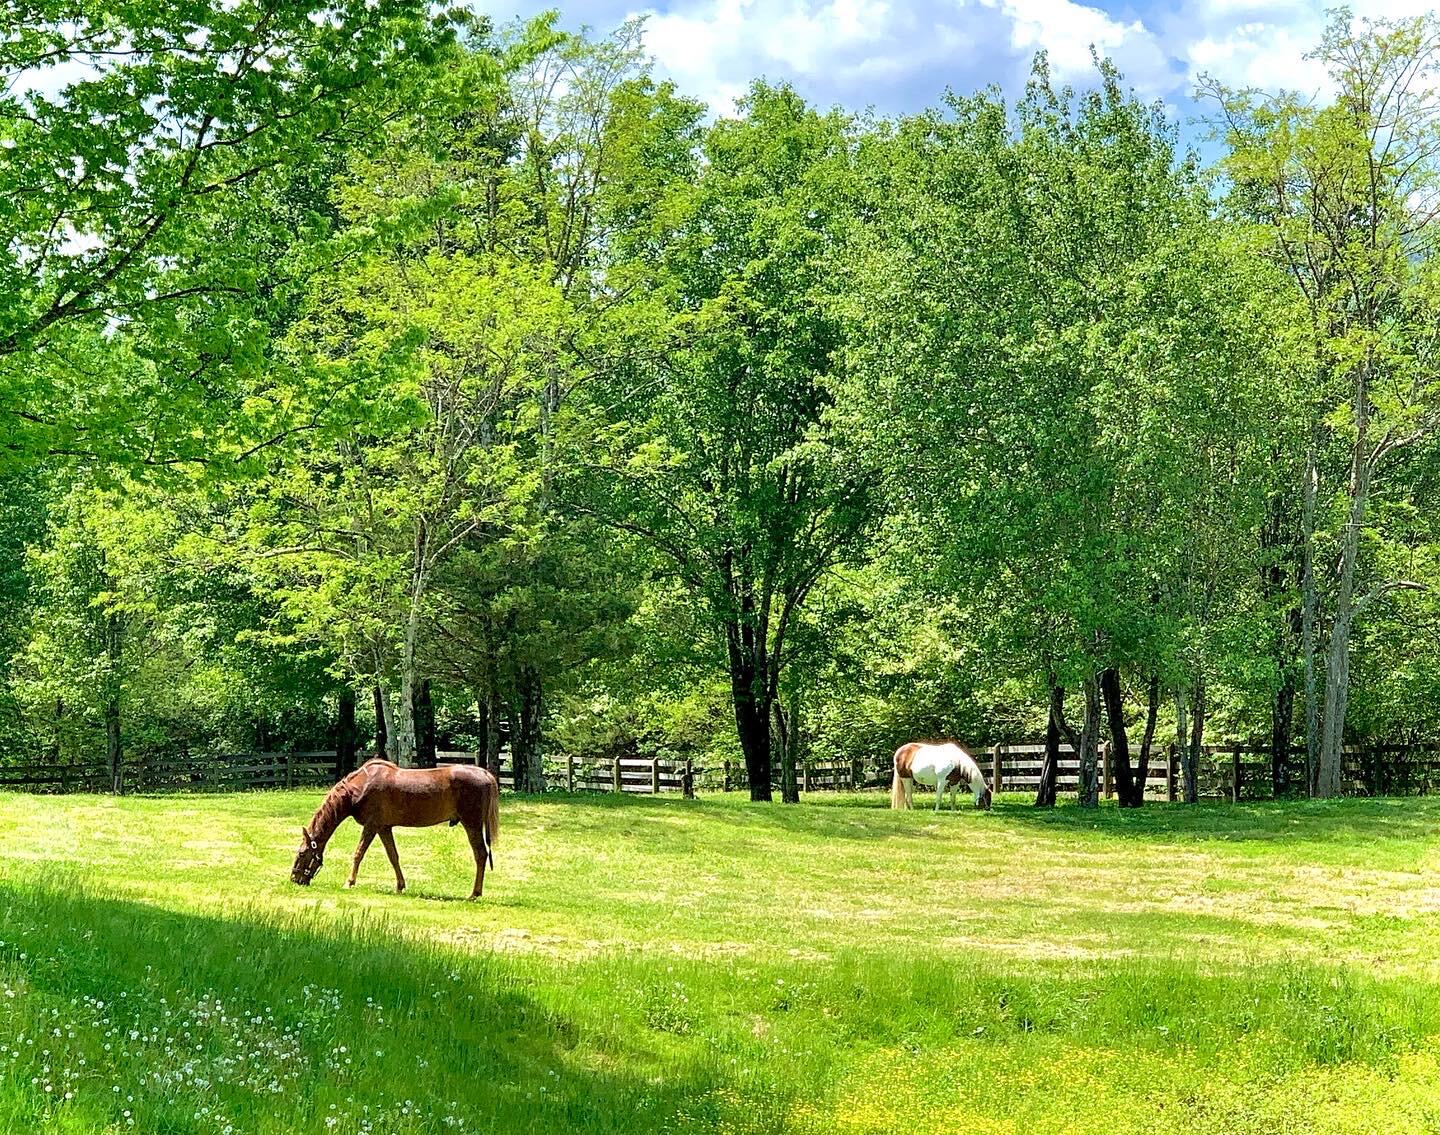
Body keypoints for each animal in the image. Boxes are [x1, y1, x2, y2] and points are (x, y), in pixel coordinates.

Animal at [290, 759, 499, 899]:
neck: (359, 788)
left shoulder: (371, 826)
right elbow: (393, 856)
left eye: (301, 853)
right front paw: (400, 886)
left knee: (481, 854)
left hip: (471, 824)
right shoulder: (384, 828)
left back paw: (474, 893)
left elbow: (358, 853)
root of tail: (485, 774)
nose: (294, 879)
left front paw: (349, 882)